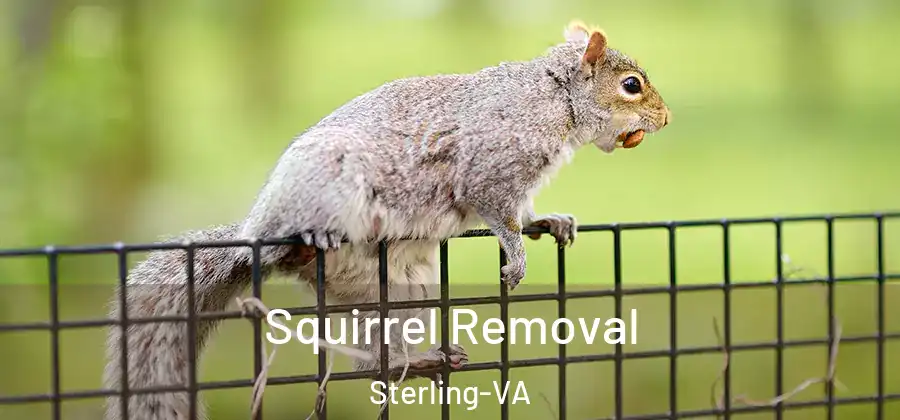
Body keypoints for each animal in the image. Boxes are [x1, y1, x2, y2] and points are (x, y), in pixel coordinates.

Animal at [102, 20, 670, 420]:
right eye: (631, 85)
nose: (665, 120)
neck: (554, 98)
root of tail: (252, 235)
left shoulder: (519, 183)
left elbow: (524, 211)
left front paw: (549, 222)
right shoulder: (489, 168)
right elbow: (497, 213)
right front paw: (516, 256)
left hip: (401, 292)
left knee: (374, 362)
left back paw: (417, 361)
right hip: (326, 188)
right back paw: (308, 239)